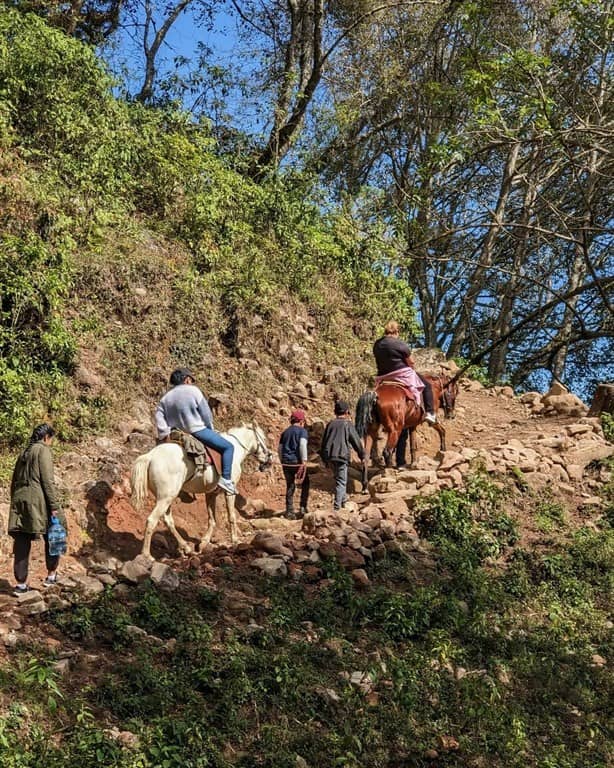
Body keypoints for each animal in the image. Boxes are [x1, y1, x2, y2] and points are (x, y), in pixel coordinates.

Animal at [131, 424, 274, 560]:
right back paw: (147, 555)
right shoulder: (230, 492)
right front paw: (235, 541)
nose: (269, 460)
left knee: (168, 520)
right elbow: (231, 517)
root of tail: (150, 456)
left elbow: (212, 519)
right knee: (151, 520)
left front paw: (203, 543)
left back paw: (186, 548)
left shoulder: (210, 494)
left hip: (166, 498)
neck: (236, 447)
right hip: (165, 498)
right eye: (264, 438)